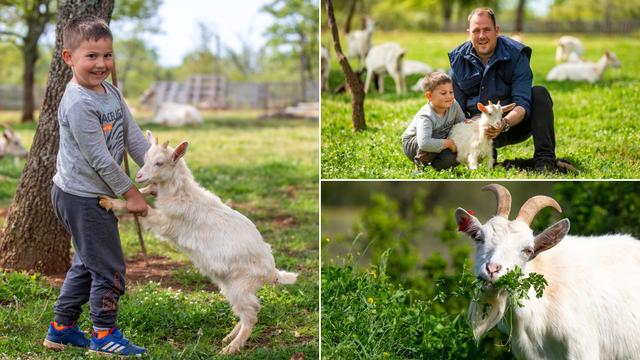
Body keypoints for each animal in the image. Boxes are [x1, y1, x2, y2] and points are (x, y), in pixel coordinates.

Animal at [99, 130, 298, 354]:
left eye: (159, 163)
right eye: (144, 159)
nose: (139, 176)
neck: (181, 195)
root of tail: (272, 272)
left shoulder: (167, 222)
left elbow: (144, 210)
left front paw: (112, 202)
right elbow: (149, 192)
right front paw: (138, 192)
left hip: (242, 284)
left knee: (251, 314)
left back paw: (230, 349)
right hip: (232, 285)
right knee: (248, 310)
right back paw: (228, 337)